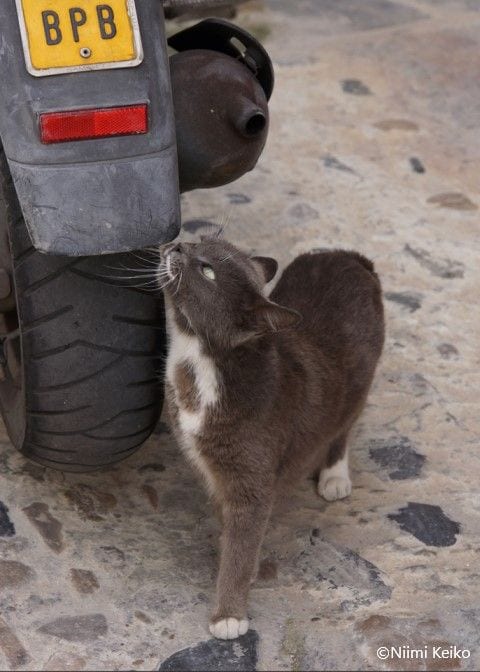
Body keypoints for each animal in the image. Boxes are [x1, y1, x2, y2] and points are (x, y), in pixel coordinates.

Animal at [158, 237, 384, 640]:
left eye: (207, 271)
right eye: (199, 243)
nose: (180, 244)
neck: (199, 363)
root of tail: (348, 256)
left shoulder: (250, 482)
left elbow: (243, 540)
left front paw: (229, 613)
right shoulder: (212, 471)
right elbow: (232, 529)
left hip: (359, 384)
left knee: (344, 424)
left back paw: (335, 476)